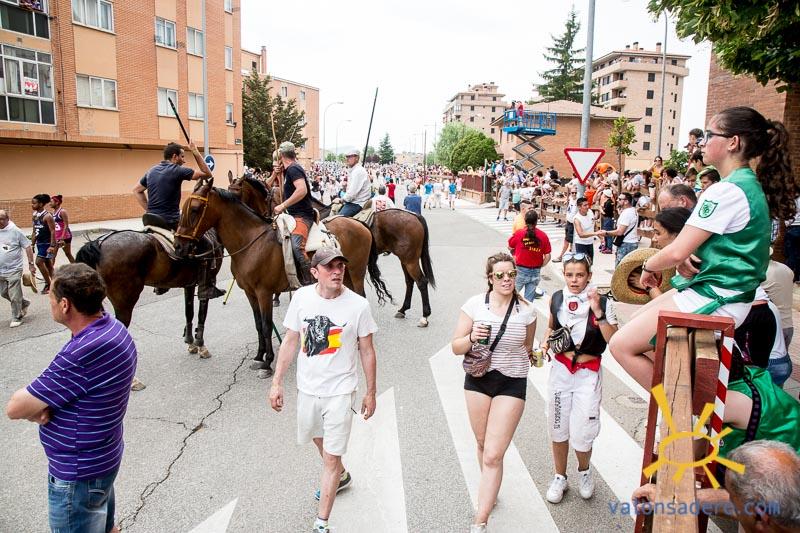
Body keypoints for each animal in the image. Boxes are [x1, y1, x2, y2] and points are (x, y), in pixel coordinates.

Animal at [75, 223, 220, 359]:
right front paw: (201, 345)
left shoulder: (189, 284)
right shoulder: (206, 283)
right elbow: (202, 313)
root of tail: (99, 244)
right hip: (124, 302)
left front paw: (190, 343)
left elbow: (189, 312)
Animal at [174, 179, 392, 377]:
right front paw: (258, 356)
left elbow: (266, 325)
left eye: (195, 209)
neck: (251, 241)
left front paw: (268, 362)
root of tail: (358, 223)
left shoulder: (264, 292)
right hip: (344, 275)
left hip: (356, 272)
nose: (178, 246)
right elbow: (258, 324)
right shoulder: (250, 293)